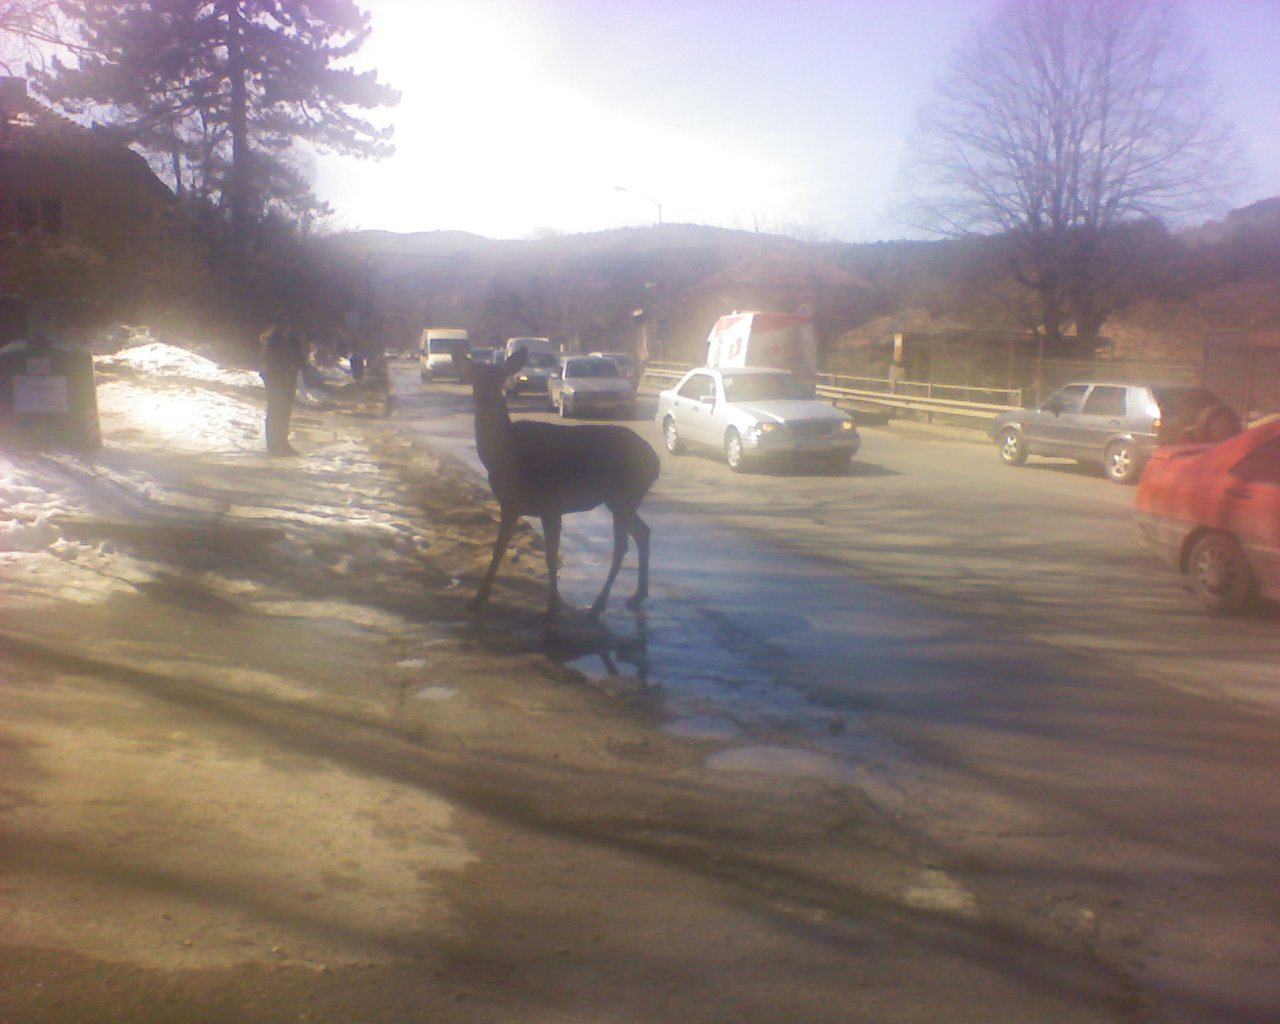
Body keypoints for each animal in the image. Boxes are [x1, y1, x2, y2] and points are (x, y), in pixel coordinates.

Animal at [463, 348, 660, 619]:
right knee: (643, 532)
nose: (483, 399)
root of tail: (655, 461)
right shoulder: (509, 504)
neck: (504, 456)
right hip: (622, 500)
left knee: (622, 545)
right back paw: (637, 595)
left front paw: (553, 606)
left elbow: (551, 555)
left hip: (623, 496)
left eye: (499, 378)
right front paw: (478, 598)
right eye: (474, 377)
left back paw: (598, 605)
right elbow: (499, 548)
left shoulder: (551, 504)